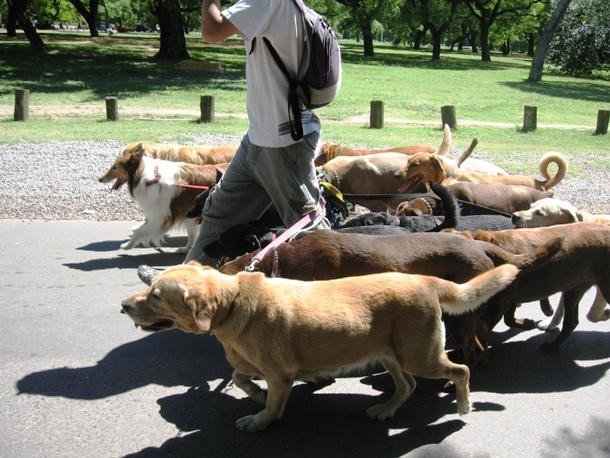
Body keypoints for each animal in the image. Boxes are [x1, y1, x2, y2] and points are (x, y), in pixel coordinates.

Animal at [121, 262, 516, 432]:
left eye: (156, 296)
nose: (123, 305)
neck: (233, 303)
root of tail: (426, 279)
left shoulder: (279, 375)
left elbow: (272, 404)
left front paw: (260, 419)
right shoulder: (258, 366)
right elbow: (238, 376)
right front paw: (255, 395)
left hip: (420, 356)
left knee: (460, 370)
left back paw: (463, 405)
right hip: (391, 356)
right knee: (408, 386)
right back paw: (386, 409)